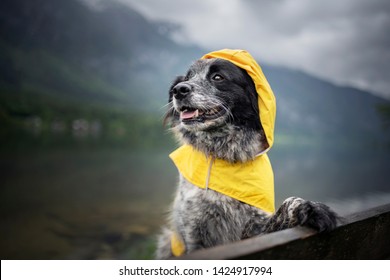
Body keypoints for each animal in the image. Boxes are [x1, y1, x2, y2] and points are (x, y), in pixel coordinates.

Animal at [156, 49, 338, 260]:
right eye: (188, 77)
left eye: (218, 77)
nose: (178, 90)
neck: (223, 155)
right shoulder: (194, 233)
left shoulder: (256, 230)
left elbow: (287, 206)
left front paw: (311, 209)